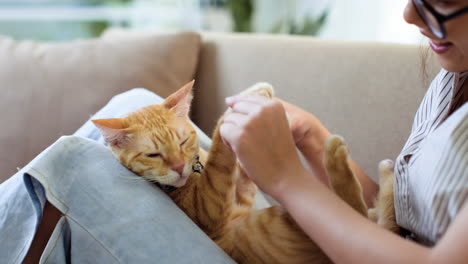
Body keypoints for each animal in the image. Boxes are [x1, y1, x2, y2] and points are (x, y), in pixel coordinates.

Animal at [92, 81, 398, 262]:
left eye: (182, 141)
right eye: (153, 155)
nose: (179, 167)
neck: (196, 174)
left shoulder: (243, 191)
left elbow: (241, 169)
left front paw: (263, 97)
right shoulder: (208, 206)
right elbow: (221, 146)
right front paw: (235, 115)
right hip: (277, 227)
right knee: (356, 210)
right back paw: (337, 153)